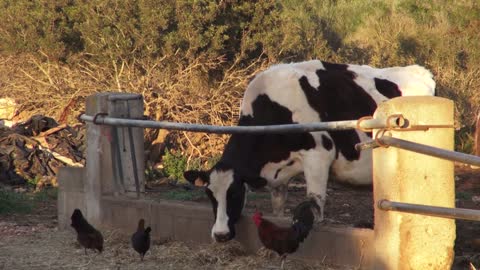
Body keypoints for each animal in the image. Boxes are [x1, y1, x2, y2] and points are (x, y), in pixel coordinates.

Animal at [183, 59, 436, 243]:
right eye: (210, 195)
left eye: (235, 193)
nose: (220, 235)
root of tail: (421, 71)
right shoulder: (278, 175)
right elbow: (278, 207)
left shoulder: (318, 156)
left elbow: (316, 201)